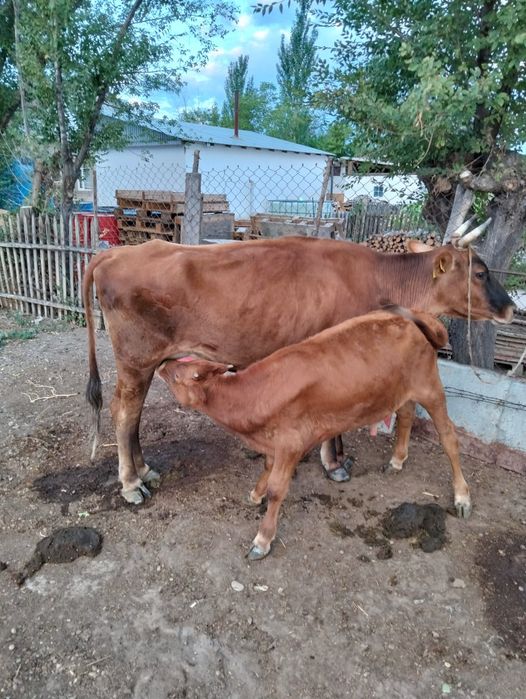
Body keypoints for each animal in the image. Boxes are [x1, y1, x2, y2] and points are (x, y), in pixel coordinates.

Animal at [83, 224, 514, 504]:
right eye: (480, 272)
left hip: (152, 360)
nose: (512, 309)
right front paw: (334, 463)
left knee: (134, 413)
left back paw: (144, 470)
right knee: (124, 412)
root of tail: (115, 252)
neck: (380, 278)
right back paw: (130, 485)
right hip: (136, 357)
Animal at [156, 307, 469, 560]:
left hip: (431, 388)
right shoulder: (274, 441)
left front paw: (262, 539)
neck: (253, 397)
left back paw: (462, 497)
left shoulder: (291, 443)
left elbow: (277, 489)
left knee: (449, 438)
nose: (162, 364)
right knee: (405, 417)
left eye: (177, 375)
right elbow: (266, 469)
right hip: (402, 391)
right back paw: (397, 461)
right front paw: (255, 494)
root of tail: (413, 316)